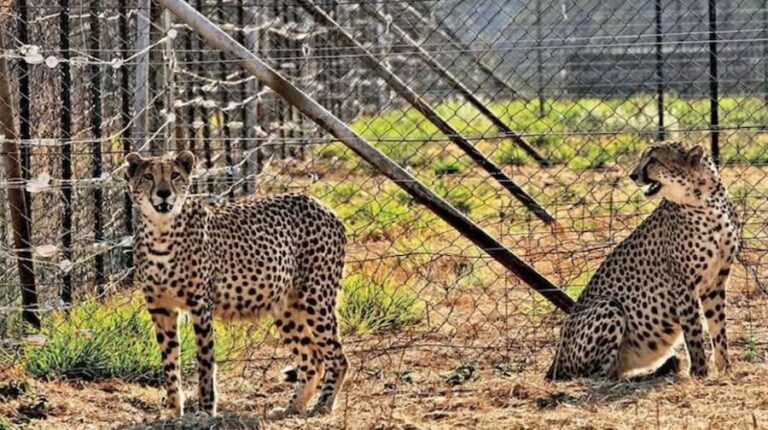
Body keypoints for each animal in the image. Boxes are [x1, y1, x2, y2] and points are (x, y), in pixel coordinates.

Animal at [124, 151, 348, 416]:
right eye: (148, 176)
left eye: (175, 175)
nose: (164, 193)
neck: (161, 231)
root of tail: (320, 204)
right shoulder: (161, 308)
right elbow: (169, 362)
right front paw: (175, 411)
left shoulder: (200, 306)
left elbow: (205, 362)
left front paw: (205, 410)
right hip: (286, 306)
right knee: (312, 358)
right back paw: (291, 408)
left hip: (316, 298)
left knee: (337, 357)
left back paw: (323, 405)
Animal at [544, 143, 736, 382]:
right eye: (643, 158)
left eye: (653, 160)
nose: (633, 175)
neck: (706, 201)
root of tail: (555, 361)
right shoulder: (683, 284)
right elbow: (693, 332)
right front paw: (700, 373)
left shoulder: (716, 282)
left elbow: (718, 328)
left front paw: (726, 369)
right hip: (609, 305)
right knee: (600, 375)